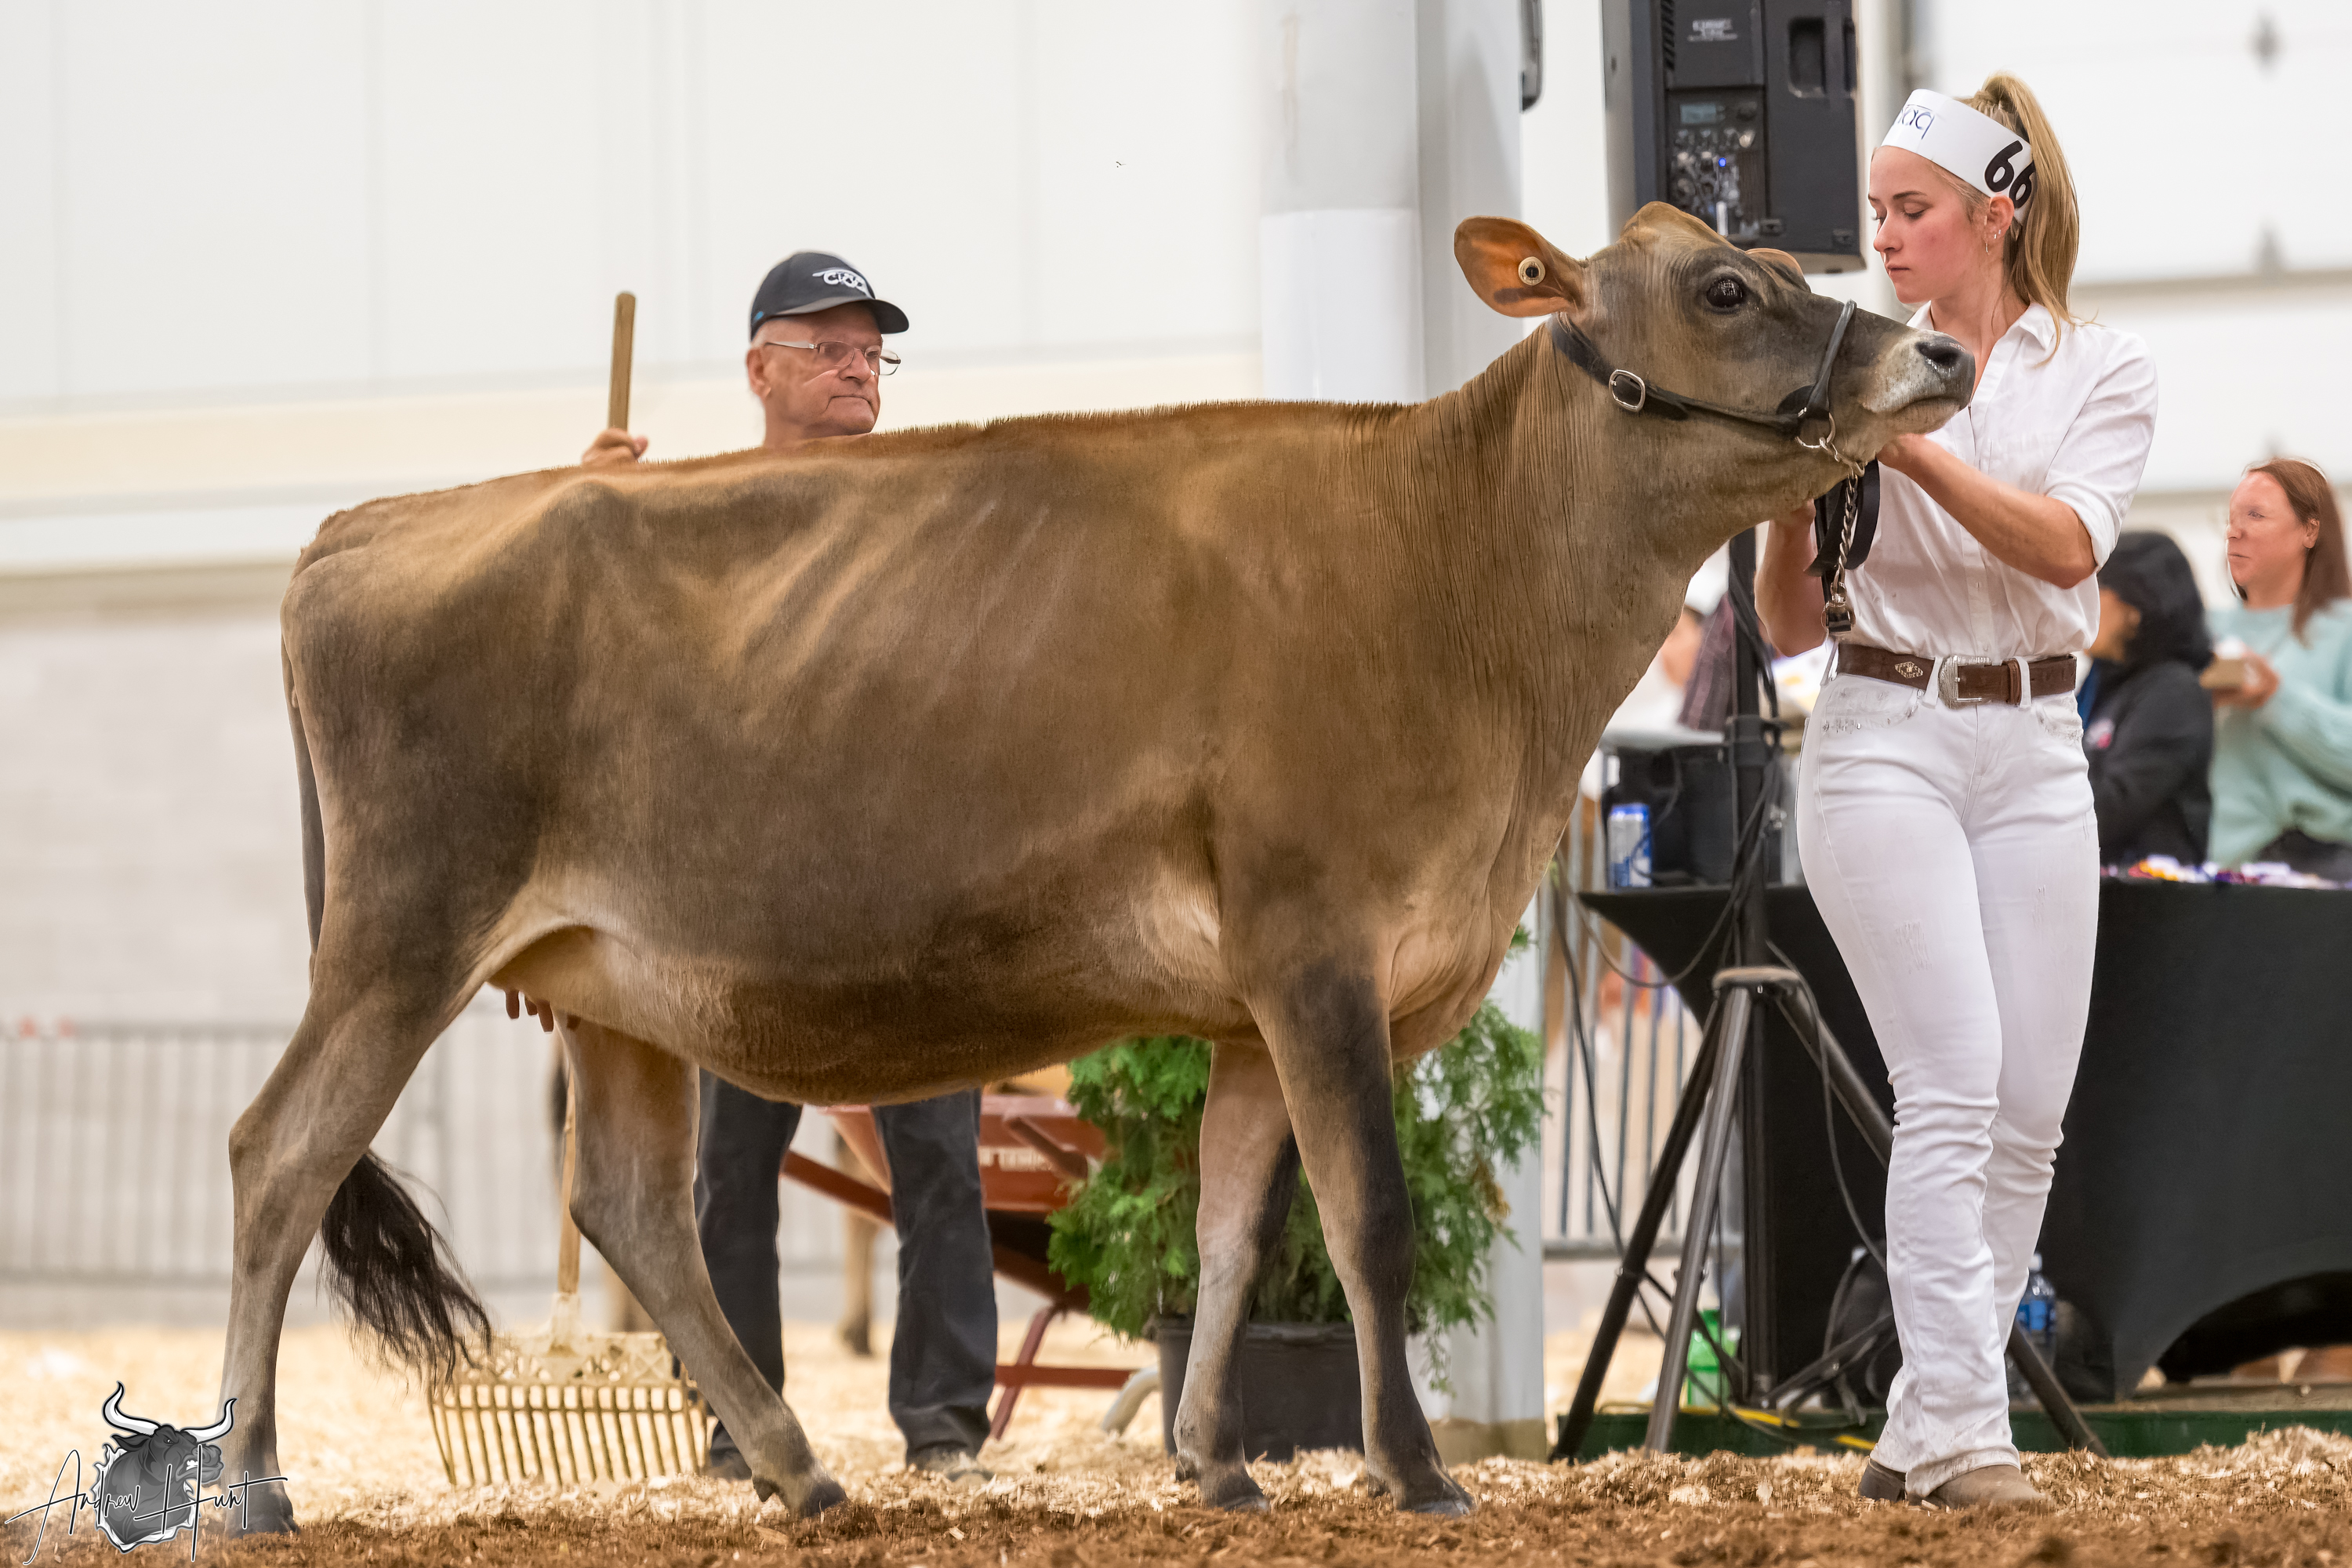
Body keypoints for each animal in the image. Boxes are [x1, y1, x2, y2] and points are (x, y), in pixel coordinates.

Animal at [214, 205, 1970, 1531]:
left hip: (606, 978)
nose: (1937, 350)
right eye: (1726, 289)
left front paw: (1218, 1467)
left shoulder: (1260, 1004)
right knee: (280, 1153)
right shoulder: (1315, 942)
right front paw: (1412, 1473)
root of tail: (366, 527)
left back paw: (801, 1473)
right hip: (404, 930)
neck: (1452, 571)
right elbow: (1371, 1220)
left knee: (633, 1208)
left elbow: (1235, 1230)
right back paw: (251, 1481)